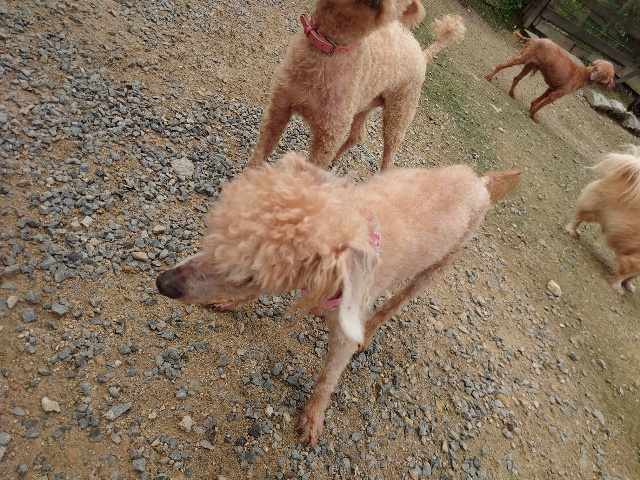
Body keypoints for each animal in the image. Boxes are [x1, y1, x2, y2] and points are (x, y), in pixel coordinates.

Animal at [156, 152, 521, 445]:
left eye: (250, 276)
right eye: (219, 234)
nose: (164, 284)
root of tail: (481, 183)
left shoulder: (346, 329)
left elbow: (328, 378)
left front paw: (312, 419)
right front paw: (232, 304)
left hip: (440, 265)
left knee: (397, 302)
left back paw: (370, 331)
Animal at [248, 0, 465, 170]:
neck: (332, 48)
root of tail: (423, 53)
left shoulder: (328, 137)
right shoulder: (279, 107)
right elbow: (260, 154)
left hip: (399, 113)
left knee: (389, 156)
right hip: (364, 103)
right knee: (358, 134)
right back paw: (336, 158)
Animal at [486, 32, 615, 123]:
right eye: (611, 76)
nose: (612, 85)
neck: (581, 75)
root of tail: (535, 39)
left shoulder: (551, 89)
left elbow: (538, 100)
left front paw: (531, 108)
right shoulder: (556, 94)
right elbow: (542, 104)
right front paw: (533, 115)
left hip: (529, 65)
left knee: (516, 78)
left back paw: (511, 93)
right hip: (522, 58)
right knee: (501, 65)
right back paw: (489, 77)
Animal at [565, 145, 640, 294]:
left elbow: (632, 277)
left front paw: (629, 285)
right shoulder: (635, 261)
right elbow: (624, 273)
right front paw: (617, 286)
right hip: (593, 212)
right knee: (578, 217)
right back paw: (571, 229)